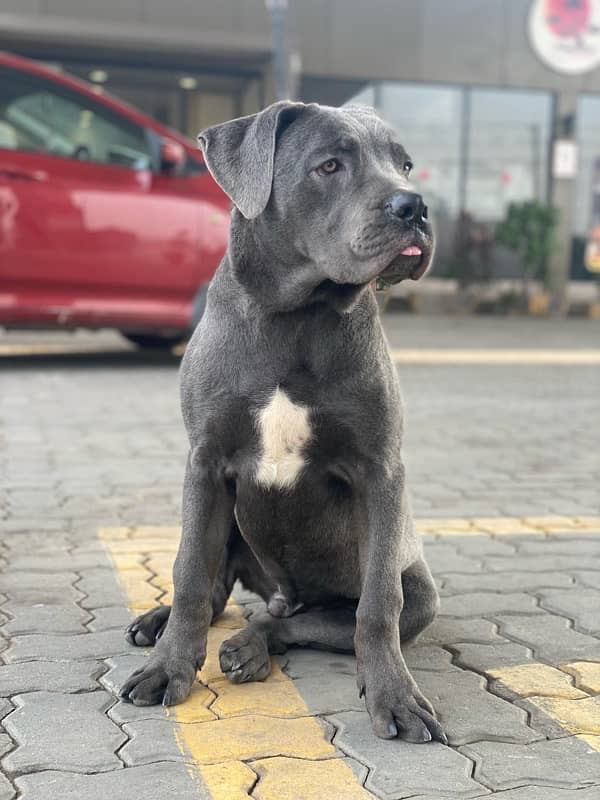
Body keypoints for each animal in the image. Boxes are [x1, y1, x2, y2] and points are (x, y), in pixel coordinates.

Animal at [119, 100, 446, 744]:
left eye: (404, 164)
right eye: (329, 165)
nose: (415, 206)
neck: (295, 314)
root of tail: (282, 597)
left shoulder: (380, 471)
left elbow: (377, 607)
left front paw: (395, 698)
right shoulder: (206, 463)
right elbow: (190, 573)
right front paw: (169, 666)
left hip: (418, 589)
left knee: (305, 622)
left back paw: (251, 647)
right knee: (218, 593)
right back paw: (163, 622)